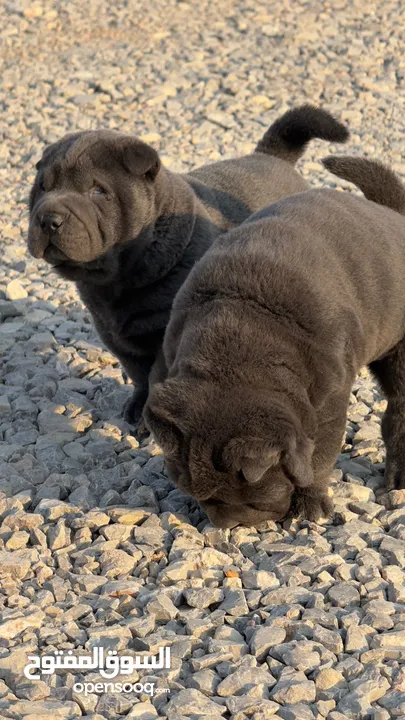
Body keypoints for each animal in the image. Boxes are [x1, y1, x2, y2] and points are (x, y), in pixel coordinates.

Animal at [27, 104, 348, 430]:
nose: (48, 218)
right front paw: (136, 406)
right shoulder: (112, 331)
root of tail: (275, 158)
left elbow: (155, 375)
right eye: (42, 187)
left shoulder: (167, 331)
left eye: (98, 191)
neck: (119, 279)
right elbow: (137, 372)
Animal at [144, 156, 405, 528]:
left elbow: (317, 460)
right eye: (198, 496)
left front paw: (309, 505)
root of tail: (393, 214)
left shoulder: (329, 404)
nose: (227, 524)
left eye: (256, 503)